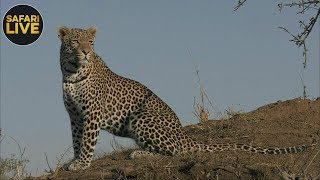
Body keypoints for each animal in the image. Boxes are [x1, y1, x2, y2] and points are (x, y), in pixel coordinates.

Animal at [57, 26, 316, 171]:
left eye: (90, 42)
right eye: (75, 41)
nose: (86, 52)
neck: (72, 72)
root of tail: (184, 135)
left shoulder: (91, 114)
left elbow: (87, 142)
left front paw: (82, 164)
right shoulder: (75, 116)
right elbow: (77, 140)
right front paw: (74, 160)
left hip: (142, 118)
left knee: (176, 152)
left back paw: (139, 153)